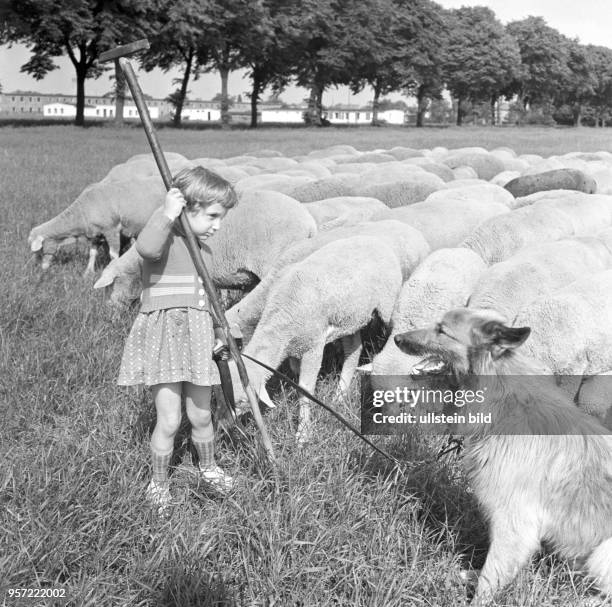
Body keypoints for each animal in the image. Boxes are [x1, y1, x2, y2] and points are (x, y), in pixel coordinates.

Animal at [29, 173, 165, 274]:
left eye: (40, 250)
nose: (41, 270)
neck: (82, 211)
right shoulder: (95, 234)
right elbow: (92, 253)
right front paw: (88, 273)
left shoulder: (111, 230)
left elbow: (113, 255)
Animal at [227, 236, 404, 442]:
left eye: (242, 400)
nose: (230, 427)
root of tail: (374, 240)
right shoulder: (295, 347)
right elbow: (296, 373)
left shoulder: (314, 346)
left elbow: (305, 389)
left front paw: (303, 435)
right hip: (350, 316)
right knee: (353, 350)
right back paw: (340, 394)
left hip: (387, 303)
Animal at [392, 312, 612, 604]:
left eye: (442, 330)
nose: (396, 338)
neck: (502, 396)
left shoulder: (515, 523)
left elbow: (491, 574)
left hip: (604, 552)